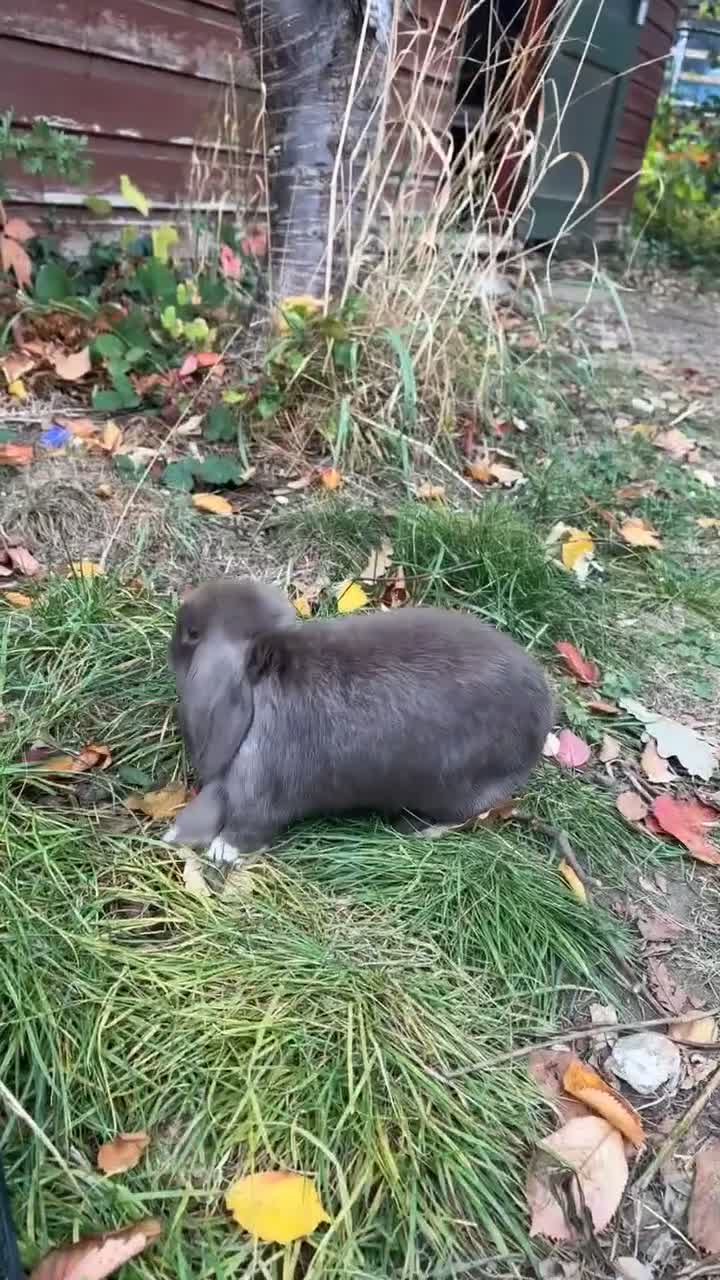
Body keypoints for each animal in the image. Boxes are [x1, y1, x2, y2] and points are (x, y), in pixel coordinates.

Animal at [163, 577, 554, 865]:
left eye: (193, 635)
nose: (172, 641)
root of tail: (544, 717)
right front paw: (177, 835)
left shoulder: (260, 790)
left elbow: (246, 827)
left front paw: (219, 851)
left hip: (460, 789)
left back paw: (417, 829)